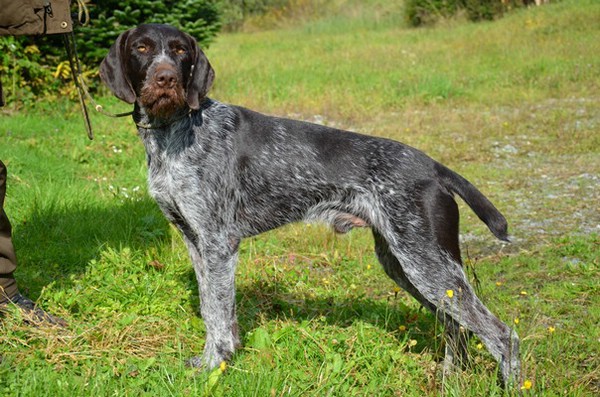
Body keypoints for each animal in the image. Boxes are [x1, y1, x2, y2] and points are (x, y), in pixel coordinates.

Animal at [99, 22, 520, 386]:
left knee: (501, 335)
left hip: (427, 263)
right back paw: (450, 378)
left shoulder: (218, 243)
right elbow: (211, 309)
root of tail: (434, 167)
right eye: (142, 48)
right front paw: (211, 360)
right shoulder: (195, 241)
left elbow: (218, 312)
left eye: (181, 51)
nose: (166, 78)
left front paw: (216, 365)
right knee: (457, 326)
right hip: (406, 264)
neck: (173, 131)